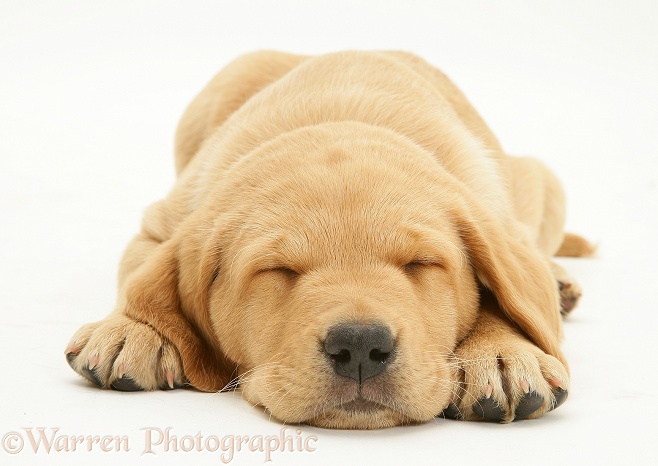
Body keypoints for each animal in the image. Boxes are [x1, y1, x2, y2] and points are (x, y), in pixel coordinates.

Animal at [65, 51, 588, 430]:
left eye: (420, 263)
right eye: (278, 270)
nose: (360, 346)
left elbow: (511, 290)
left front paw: (502, 353)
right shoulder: (160, 224)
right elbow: (138, 279)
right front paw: (131, 330)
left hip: (540, 182)